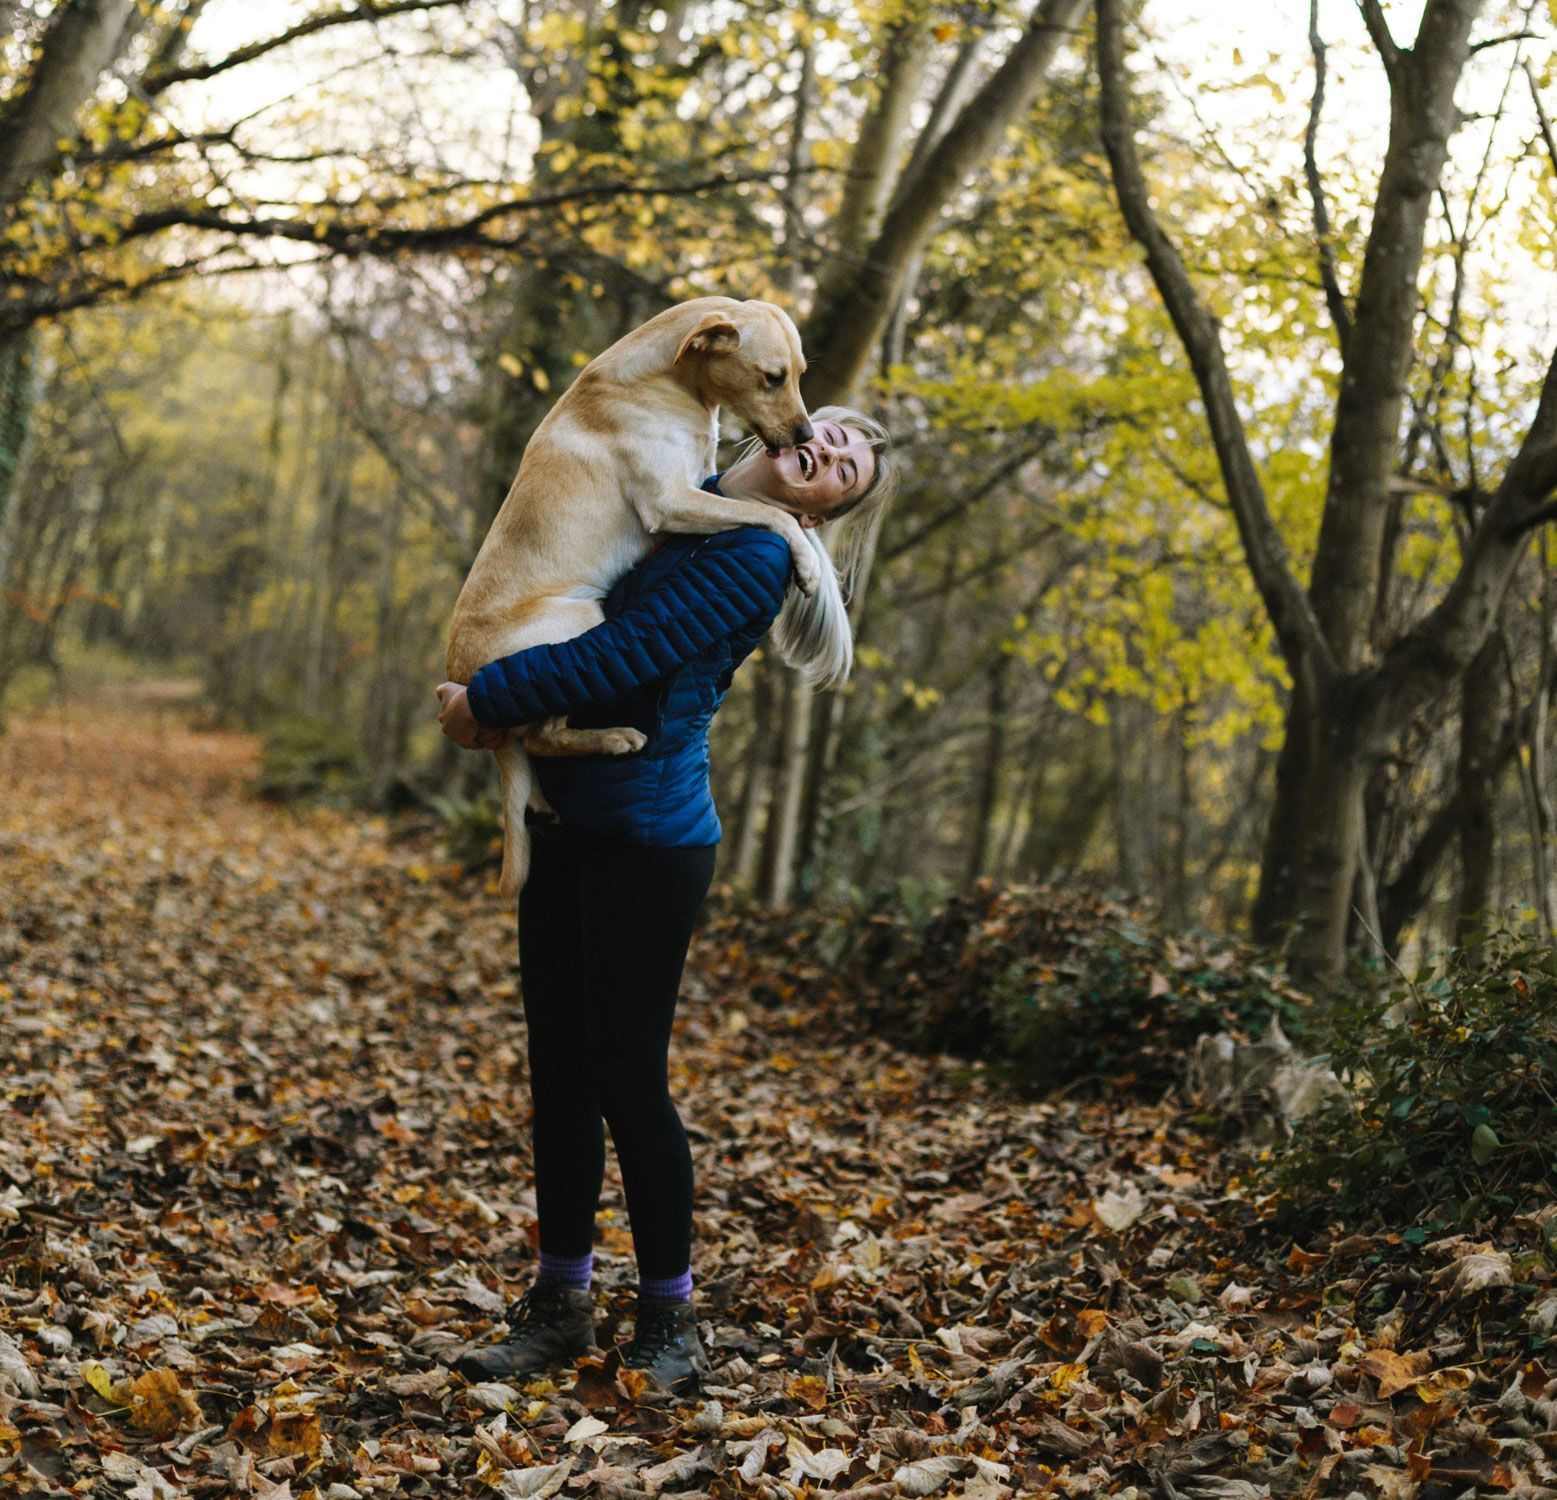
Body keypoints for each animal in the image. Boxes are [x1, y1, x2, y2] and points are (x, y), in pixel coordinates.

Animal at [445, 299, 815, 897]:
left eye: (800, 375)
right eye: (773, 378)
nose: (807, 436)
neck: (669, 379)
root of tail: (461, 676)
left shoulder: (700, 484)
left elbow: (754, 505)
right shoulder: (672, 500)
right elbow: (769, 513)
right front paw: (805, 557)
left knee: (534, 749)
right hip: (577, 621)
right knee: (545, 735)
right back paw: (613, 739)